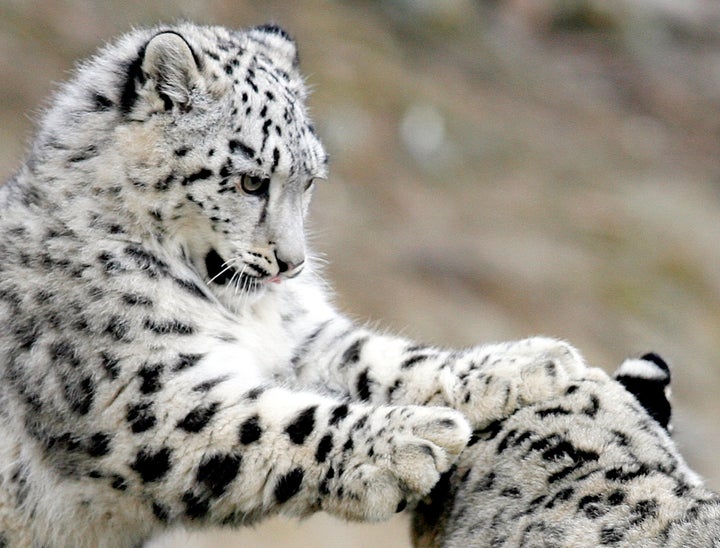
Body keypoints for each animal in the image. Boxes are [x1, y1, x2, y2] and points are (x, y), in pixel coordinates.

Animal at [0, 22, 592, 548]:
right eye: (250, 181)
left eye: (309, 181)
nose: (292, 264)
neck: (242, 313)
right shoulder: (144, 388)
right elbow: (278, 422)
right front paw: (412, 442)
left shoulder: (302, 339)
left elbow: (380, 358)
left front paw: (533, 362)